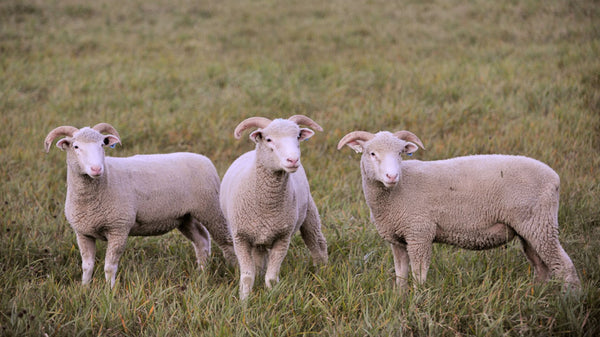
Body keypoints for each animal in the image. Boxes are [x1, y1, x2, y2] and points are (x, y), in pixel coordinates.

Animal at [44, 122, 236, 286]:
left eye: (102, 145)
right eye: (76, 147)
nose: (96, 169)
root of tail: (203, 158)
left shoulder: (119, 228)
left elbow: (109, 266)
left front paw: (109, 291)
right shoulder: (83, 232)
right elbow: (87, 266)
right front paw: (85, 288)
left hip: (211, 208)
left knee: (227, 241)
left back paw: (232, 270)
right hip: (185, 217)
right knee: (201, 240)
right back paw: (201, 273)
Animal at [220, 115, 328, 300]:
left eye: (298, 137)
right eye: (269, 139)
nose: (293, 160)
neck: (267, 206)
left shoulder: (283, 238)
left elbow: (271, 276)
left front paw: (272, 296)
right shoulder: (240, 238)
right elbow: (247, 275)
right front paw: (244, 300)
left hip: (309, 213)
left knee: (317, 242)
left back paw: (322, 272)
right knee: (259, 257)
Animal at [336, 130, 580, 290]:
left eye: (400, 154)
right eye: (371, 153)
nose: (391, 176)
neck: (397, 190)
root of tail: (554, 177)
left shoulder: (419, 233)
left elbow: (418, 275)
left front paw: (418, 301)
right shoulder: (398, 239)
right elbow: (401, 275)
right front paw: (401, 299)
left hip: (541, 224)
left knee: (564, 266)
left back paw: (569, 301)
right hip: (529, 228)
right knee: (542, 267)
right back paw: (537, 296)